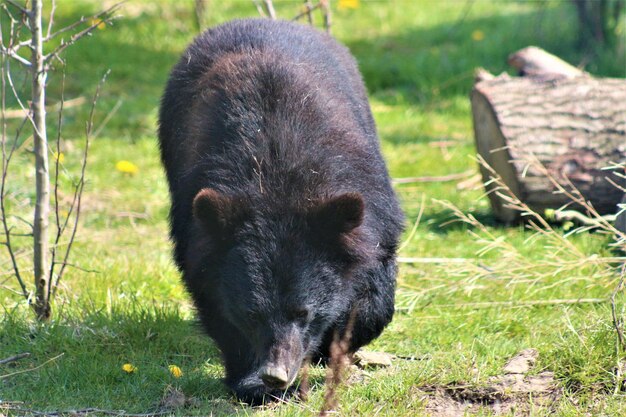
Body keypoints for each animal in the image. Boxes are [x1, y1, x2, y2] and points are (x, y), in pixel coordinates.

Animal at [158, 19, 402, 404]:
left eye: (304, 312)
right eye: (252, 314)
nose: (276, 373)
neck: (274, 179)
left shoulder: (366, 191)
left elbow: (375, 273)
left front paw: (335, 343)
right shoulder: (198, 229)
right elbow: (216, 301)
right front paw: (251, 382)